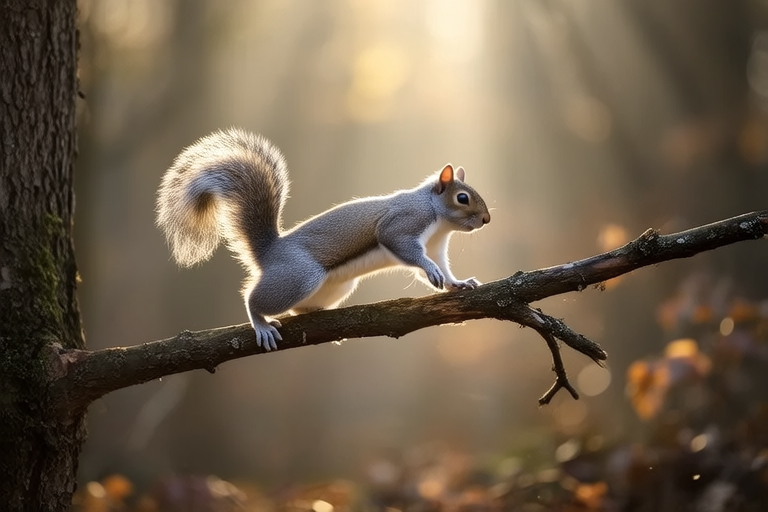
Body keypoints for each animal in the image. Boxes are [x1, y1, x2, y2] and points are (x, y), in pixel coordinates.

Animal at [157, 128, 491, 350]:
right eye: (462, 198)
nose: (487, 220)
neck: (438, 220)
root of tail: (269, 251)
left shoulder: (436, 245)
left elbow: (443, 269)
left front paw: (458, 283)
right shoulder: (404, 222)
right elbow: (404, 247)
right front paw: (431, 270)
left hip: (335, 287)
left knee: (298, 309)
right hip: (300, 275)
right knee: (253, 298)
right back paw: (261, 323)